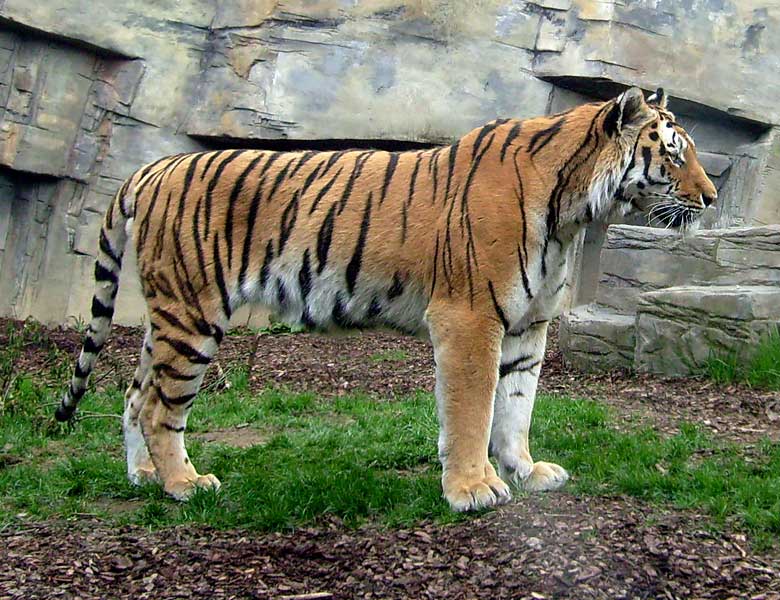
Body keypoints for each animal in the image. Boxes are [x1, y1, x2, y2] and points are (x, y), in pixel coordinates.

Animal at [56, 88, 720, 510]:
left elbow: (517, 407)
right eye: (674, 153)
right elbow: (473, 409)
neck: (573, 213)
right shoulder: (470, 318)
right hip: (193, 314)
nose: (712, 198)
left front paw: (527, 472)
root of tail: (153, 167)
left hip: (168, 316)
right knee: (158, 406)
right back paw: (183, 485)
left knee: (133, 393)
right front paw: (473, 489)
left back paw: (144, 476)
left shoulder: (527, 329)